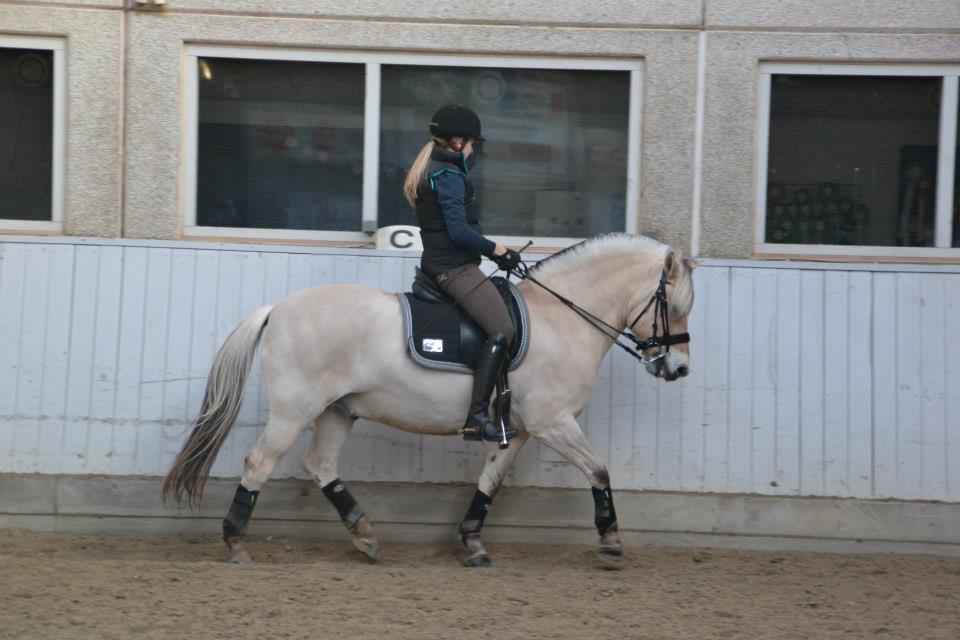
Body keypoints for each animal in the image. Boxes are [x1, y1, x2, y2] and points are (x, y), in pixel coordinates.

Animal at [161, 234, 692, 564]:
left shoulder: (520, 430)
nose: (678, 369)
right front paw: (611, 542)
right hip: (295, 409)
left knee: (321, 465)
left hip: (337, 411)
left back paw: (364, 534)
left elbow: (490, 480)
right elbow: (599, 470)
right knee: (259, 463)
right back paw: (236, 544)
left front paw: (473, 543)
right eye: (673, 306)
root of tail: (277, 309)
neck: (563, 320)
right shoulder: (553, 422)